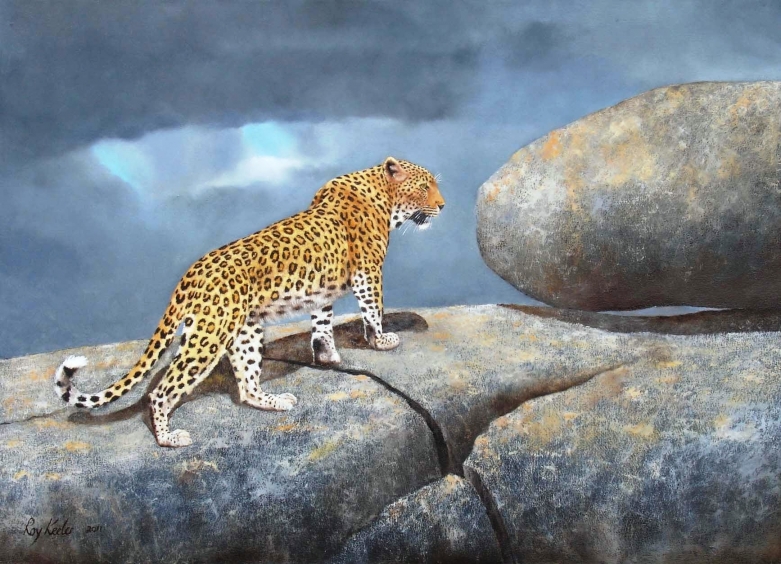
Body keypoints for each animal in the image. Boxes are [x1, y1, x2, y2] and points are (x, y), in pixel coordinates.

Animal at [54, 157, 445, 447]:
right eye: (425, 186)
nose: (442, 205)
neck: (382, 195)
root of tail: (190, 273)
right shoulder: (367, 272)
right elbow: (373, 307)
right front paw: (382, 340)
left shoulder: (322, 290)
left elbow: (321, 323)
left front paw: (327, 356)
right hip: (209, 337)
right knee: (163, 390)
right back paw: (168, 438)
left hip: (242, 331)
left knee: (245, 385)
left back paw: (275, 401)